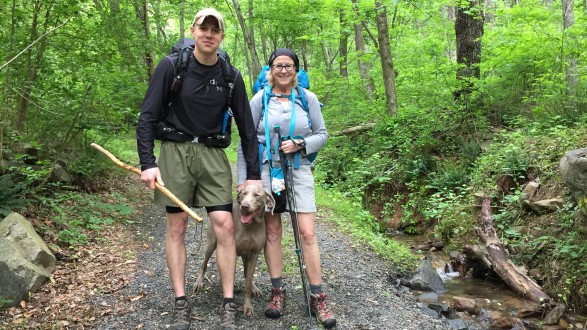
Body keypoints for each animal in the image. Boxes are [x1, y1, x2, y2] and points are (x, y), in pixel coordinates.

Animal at [193, 184, 276, 316]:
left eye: (257, 195)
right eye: (243, 193)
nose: (245, 206)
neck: (250, 226)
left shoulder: (254, 254)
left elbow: (247, 283)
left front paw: (247, 306)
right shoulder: (230, 251)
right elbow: (227, 278)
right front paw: (226, 302)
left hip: (246, 255)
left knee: (247, 274)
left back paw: (254, 288)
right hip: (211, 243)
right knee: (204, 263)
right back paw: (198, 282)